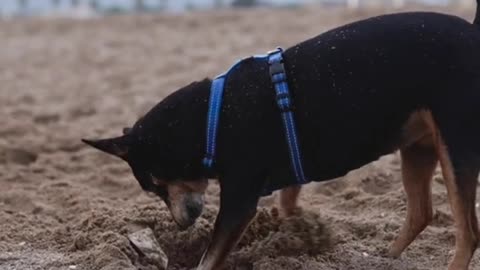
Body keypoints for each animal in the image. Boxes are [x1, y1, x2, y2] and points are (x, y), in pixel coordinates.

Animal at [84, 4, 480, 270]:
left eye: (156, 185)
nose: (181, 223)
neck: (211, 119)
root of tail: (473, 33)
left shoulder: (238, 204)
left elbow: (209, 258)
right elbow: (288, 205)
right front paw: (297, 235)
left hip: (456, 144)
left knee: (468, 233)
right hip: (417, 147)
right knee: (421, 213)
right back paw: (386, 258)